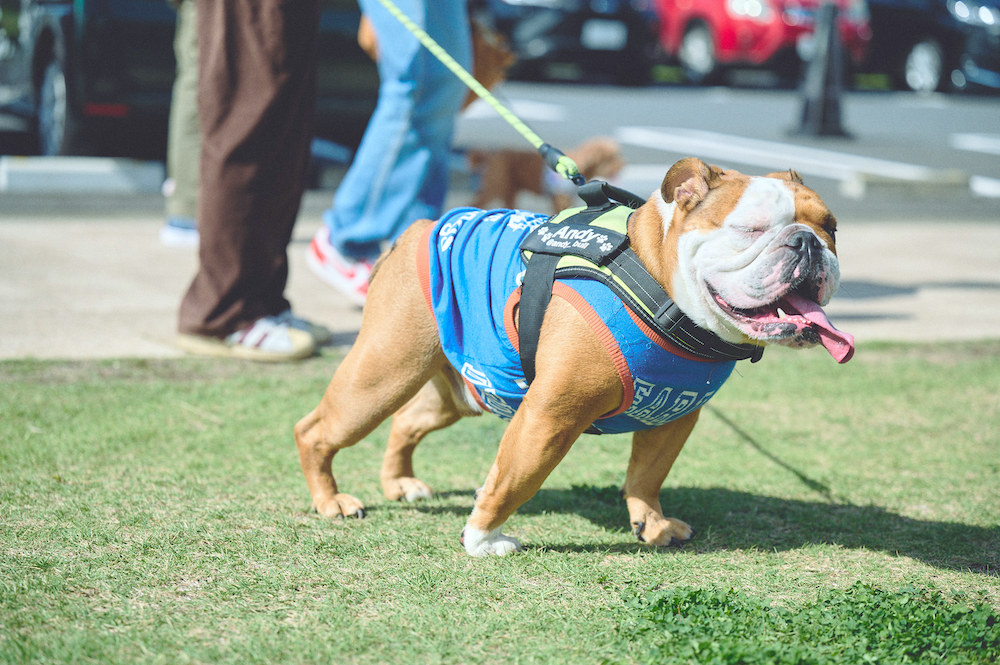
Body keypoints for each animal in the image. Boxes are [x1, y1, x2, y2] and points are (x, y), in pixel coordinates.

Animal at [295, 158, 854, 557]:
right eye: (751, 230)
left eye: (831, 228)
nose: (808, 243)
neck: (658, 281)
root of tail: (424, 226)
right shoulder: (549, 418)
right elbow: (511, 481)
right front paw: (481, 539)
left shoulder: (675, 416)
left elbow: (647, 473)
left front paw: (651, 522)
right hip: (385, 373)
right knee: (317, 429)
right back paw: (331, 501)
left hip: (462, 390)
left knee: (408, 421)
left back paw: (400, 483)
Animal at [467, 137, 626, 213]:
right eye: (610, 158)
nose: (623, 163)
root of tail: (490, 155)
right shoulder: (561, 199)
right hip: (495, 185)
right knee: (475, 202)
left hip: (509, 189)